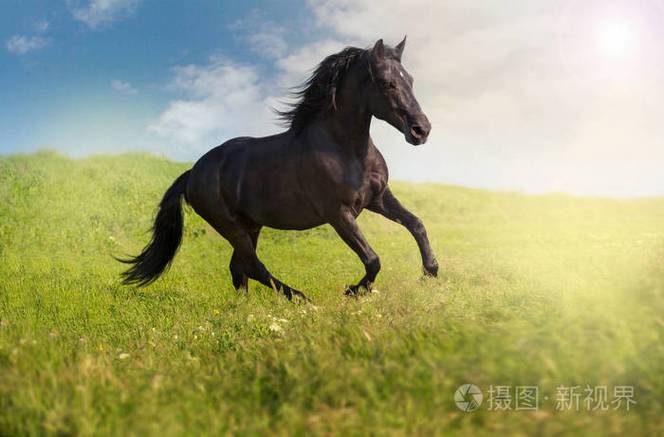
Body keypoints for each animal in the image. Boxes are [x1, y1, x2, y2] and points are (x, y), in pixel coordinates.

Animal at [119, 37, 438, 302]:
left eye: (410, 80)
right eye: (387, 82)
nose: (421, 130)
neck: (346, 149)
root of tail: (192, 174)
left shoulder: (378, 198)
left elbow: (417, 224)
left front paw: (430, 273)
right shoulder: (338, 213)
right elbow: (373, 259)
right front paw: (352, 291)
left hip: (250, 224)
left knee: (239, 268)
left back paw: (247, 307)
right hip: (230, 225)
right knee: (253, 265)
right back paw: (300, 298)